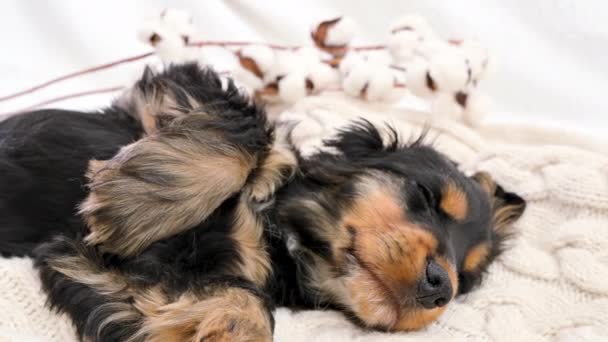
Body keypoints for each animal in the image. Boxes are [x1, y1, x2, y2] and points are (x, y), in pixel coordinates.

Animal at [0, 62, 524, 340]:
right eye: (425, 196)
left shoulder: (83, 265)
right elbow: (251, 135)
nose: (441, 288)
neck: (284, 239)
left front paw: (227, 325)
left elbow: (239, 300)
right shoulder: (174, 88)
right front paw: (130, 203)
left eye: (467, 279)